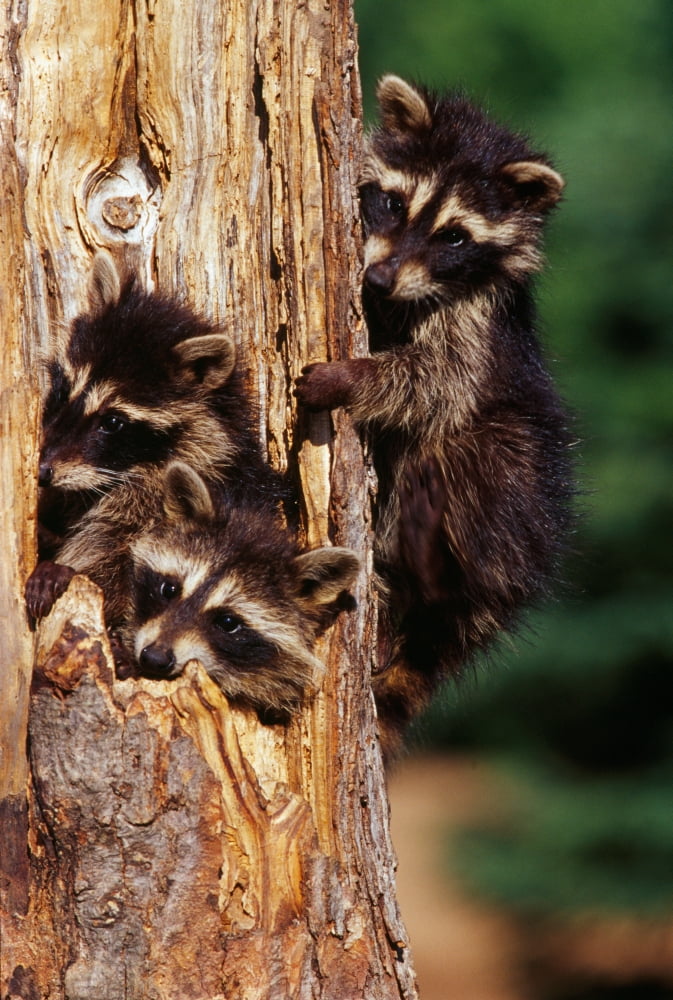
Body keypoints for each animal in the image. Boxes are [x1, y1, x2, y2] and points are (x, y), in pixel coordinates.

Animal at [295, 76, 576, 755]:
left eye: (454, 236)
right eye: (393, 203)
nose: (378, 278)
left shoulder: (477, 321)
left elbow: (439, 384)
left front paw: (352, 378)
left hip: (511, 503)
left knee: (473, 454)